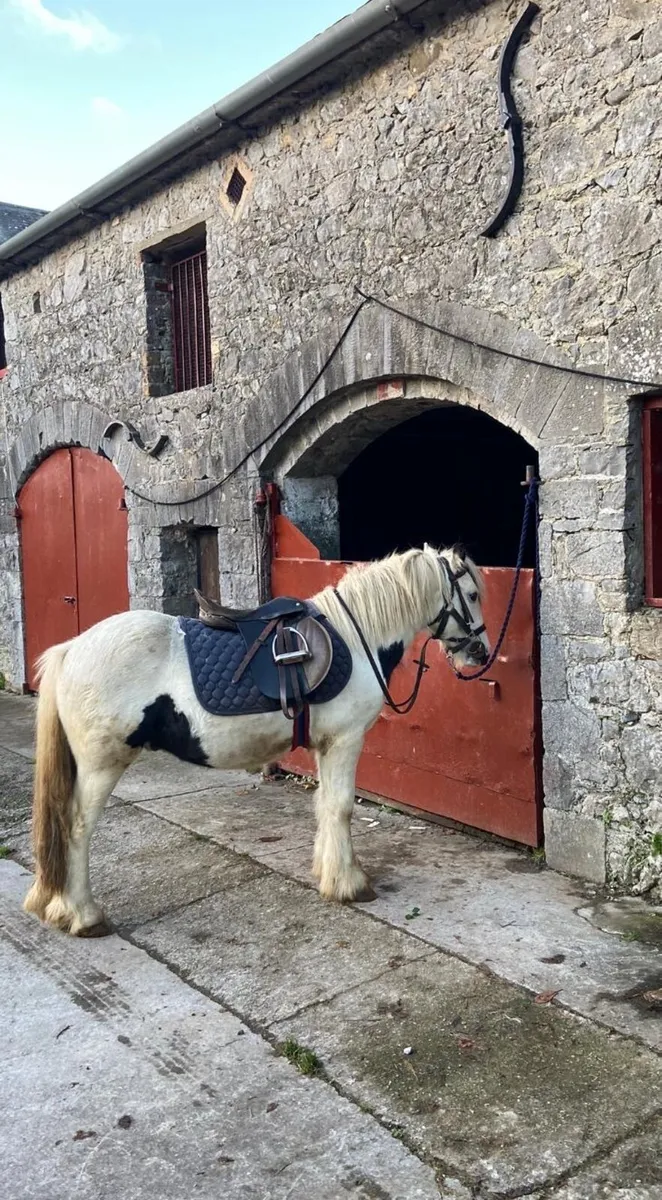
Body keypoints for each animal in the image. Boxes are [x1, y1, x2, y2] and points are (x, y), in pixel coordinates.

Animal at [23, 544, 488, 936]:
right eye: (472, 594)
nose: (481, 654)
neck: (357, 639)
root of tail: (71, 649)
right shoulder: (345, 741)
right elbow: (341, 808)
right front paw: (349, 884)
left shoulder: (324, 745)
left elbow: (324, 806)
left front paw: (328, 873)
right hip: (101, 765)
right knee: (77, 826)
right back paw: (84, 915)